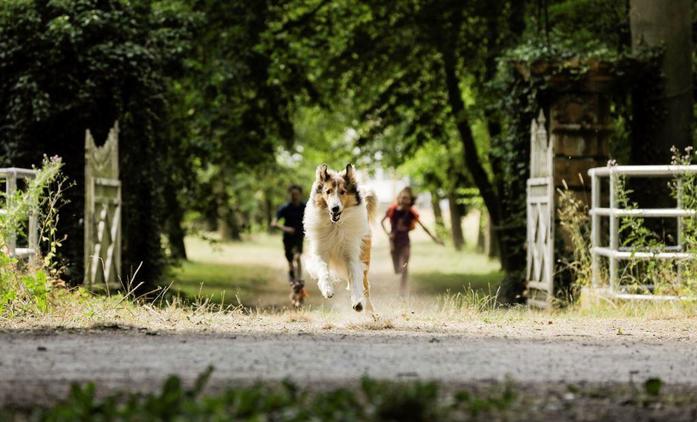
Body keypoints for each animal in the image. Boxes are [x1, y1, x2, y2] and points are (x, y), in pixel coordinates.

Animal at [304, 165, 376, 314]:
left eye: (343, 192)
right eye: (328, 191)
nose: (335, 208)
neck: (335, 225)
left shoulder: (352, 256)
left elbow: (355, 279)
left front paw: (357, 302)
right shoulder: (320, 252)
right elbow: (323, 270)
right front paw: (327, 290)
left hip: (365, 259)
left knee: (365, 286)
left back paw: (369, 309)